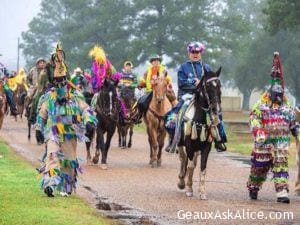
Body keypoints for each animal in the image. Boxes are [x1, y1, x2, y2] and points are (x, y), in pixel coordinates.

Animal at [176, 66, 223, 199]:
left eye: (219, 85)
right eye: (207, 85)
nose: (216, 109)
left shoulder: (206, 146)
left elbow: (202, 167)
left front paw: (202, 191)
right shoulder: (189, 145)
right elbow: (190, 166)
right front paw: (189, 188)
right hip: (181, 144)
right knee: (183, 159)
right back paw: (181, 181)